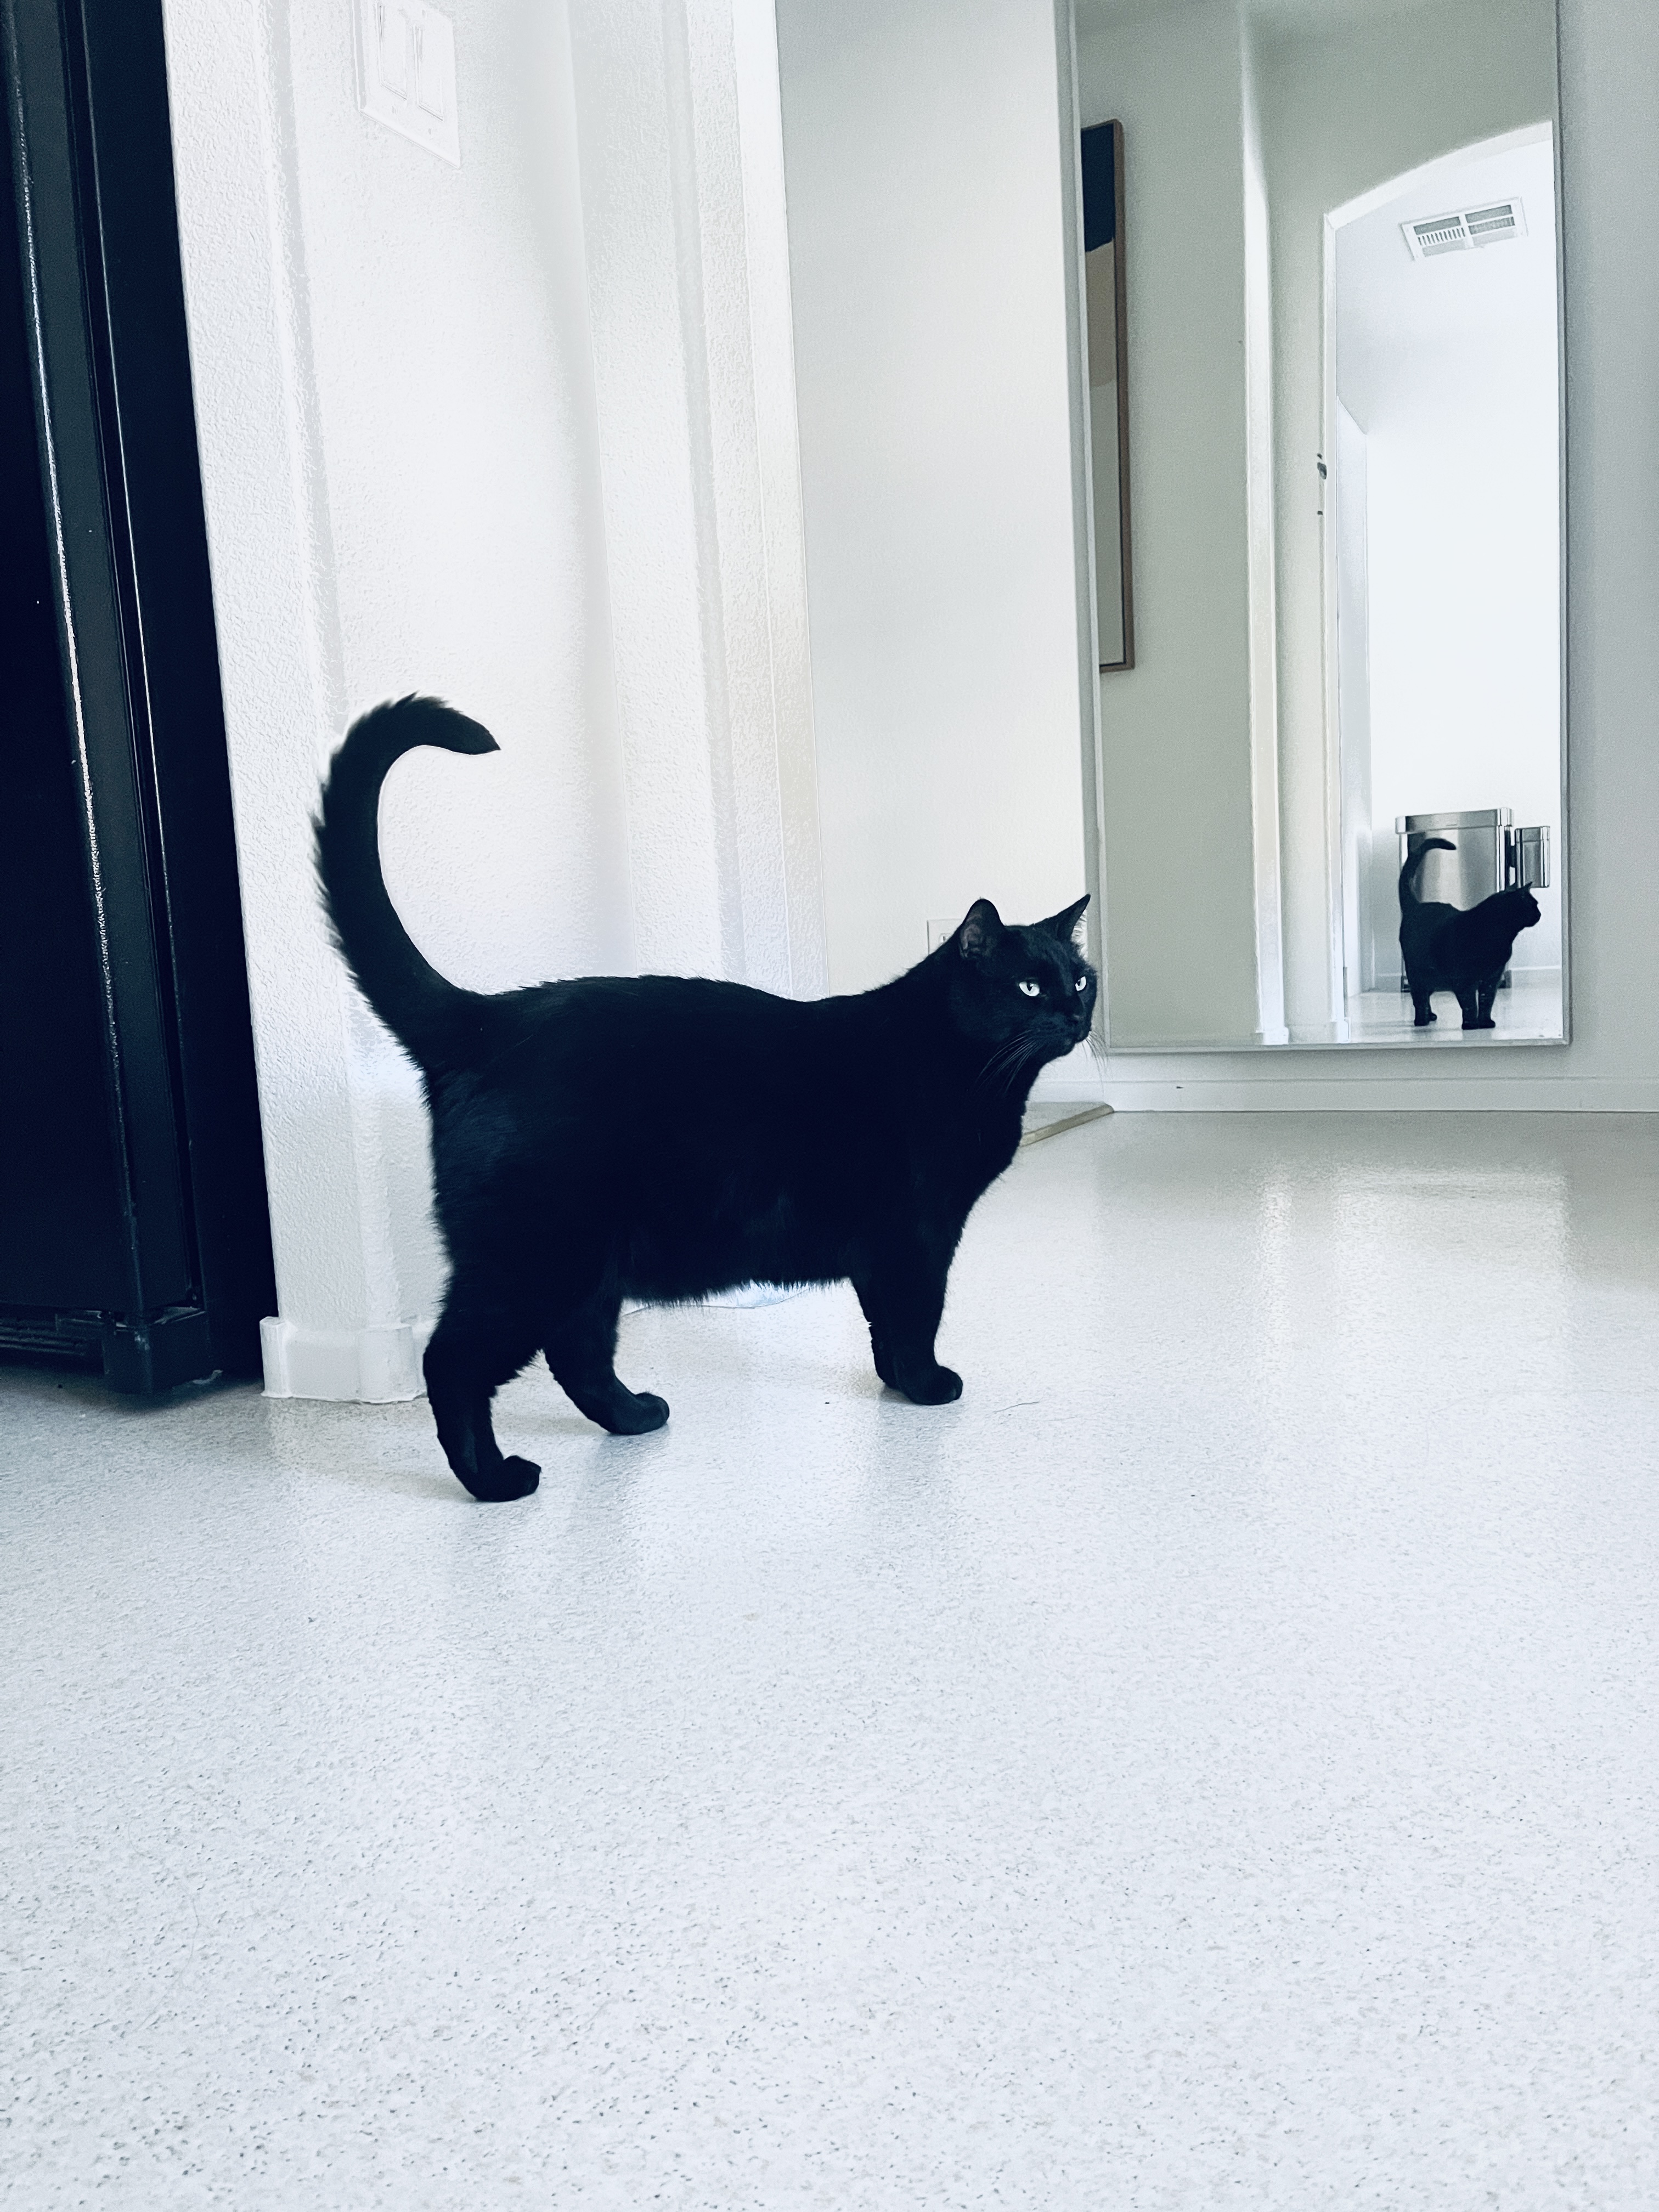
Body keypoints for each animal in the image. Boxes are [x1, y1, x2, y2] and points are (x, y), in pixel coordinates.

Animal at [316, 697, 1097, 1501]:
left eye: (1080, 977)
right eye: (1029, 986)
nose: (1076, 1014)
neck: (962, 1064)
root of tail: (486, 1016)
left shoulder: (890, 1243)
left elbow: (884, 1320)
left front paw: (895, 1385)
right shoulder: (919, 1231)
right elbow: (916, 1314)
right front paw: (927, 1386)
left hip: (590, 1264)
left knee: (578, 1353)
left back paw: (634, 1417)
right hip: (536, 1255)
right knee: (455, 1361)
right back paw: (494, 1480)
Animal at [1397, 836, 1541, 1030]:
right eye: (1534, 905)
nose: (1540, 914)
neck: (1499, 938)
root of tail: (1416, 906)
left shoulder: (1493, 977)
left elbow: (1487, 1001)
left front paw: (1486, 1022)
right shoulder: (1464, 979)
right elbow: (1469, 1003)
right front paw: (1471, 1024)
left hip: (1433, 977)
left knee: (1426, 995)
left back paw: (1431, 1016)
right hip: (1417, 972)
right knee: (1419, 997)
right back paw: (1422, 1021)